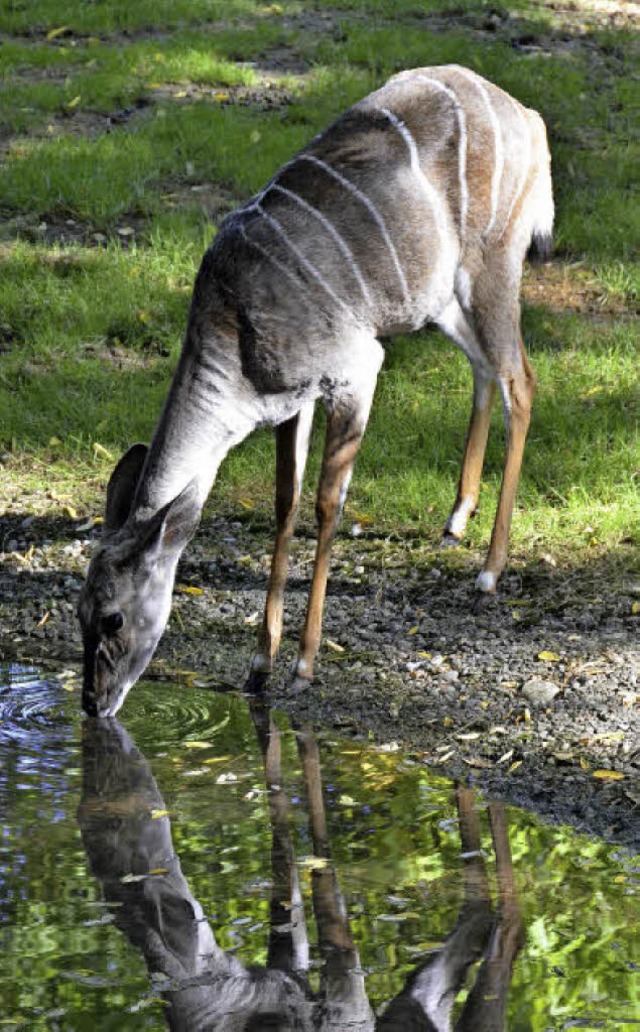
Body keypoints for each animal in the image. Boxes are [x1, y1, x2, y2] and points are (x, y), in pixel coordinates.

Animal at [76, 64, 553, 718]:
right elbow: (286, 501)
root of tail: (528, 116)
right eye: (78, 614)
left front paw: (302, 665)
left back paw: (490, 570)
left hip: (495, 264)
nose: (92, 704)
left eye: (114, 618)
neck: (235, 333)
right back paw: (457, 516)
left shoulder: (357, 369)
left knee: (519, 380)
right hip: (440, 299)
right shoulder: (287, 401)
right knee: (484, 368)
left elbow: (329, 503)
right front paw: (259, 663)